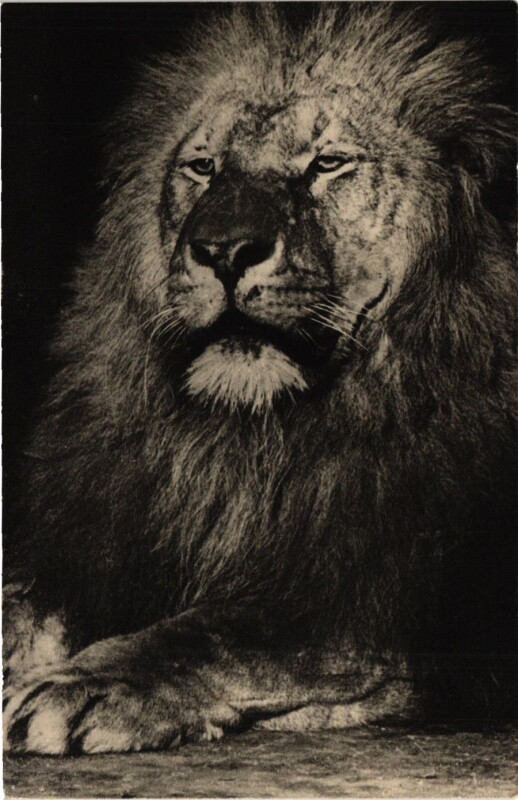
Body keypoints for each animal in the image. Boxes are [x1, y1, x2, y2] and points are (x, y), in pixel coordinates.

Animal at [4, 4, 516, 755]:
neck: (254, 440)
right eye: (203, 167)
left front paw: (84, 686)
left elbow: (218, 634)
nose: (223, 250)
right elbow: (24, 605)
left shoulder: (367, 609)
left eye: (328, 164)